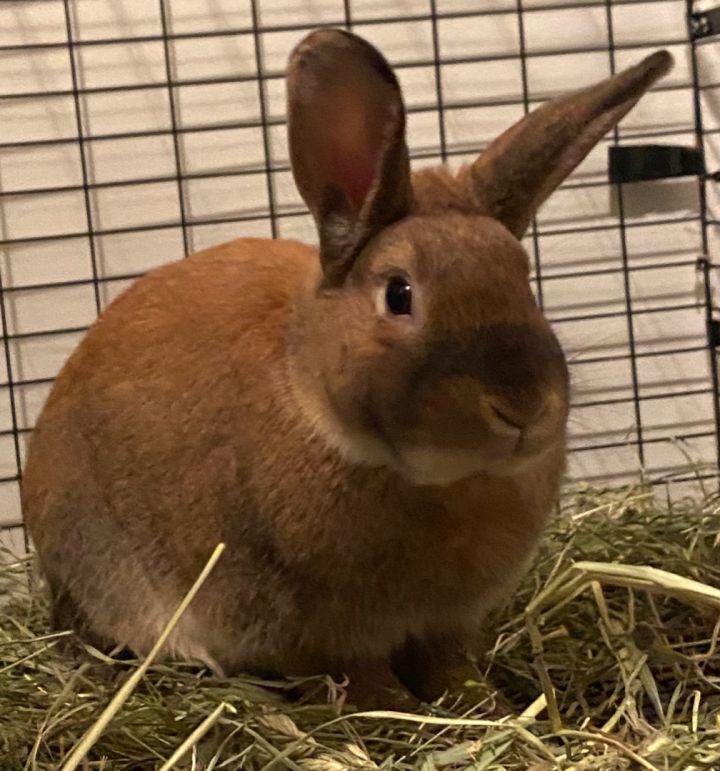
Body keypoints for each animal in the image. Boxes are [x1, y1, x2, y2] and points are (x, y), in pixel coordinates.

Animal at [22, 29, 672, 710]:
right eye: (398, 294)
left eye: (523, 279)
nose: (522, 406)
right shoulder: (313, 632)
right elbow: (361, 682)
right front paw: (398, 715)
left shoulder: (445, 625)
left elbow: (451, 667)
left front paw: (486, 706)